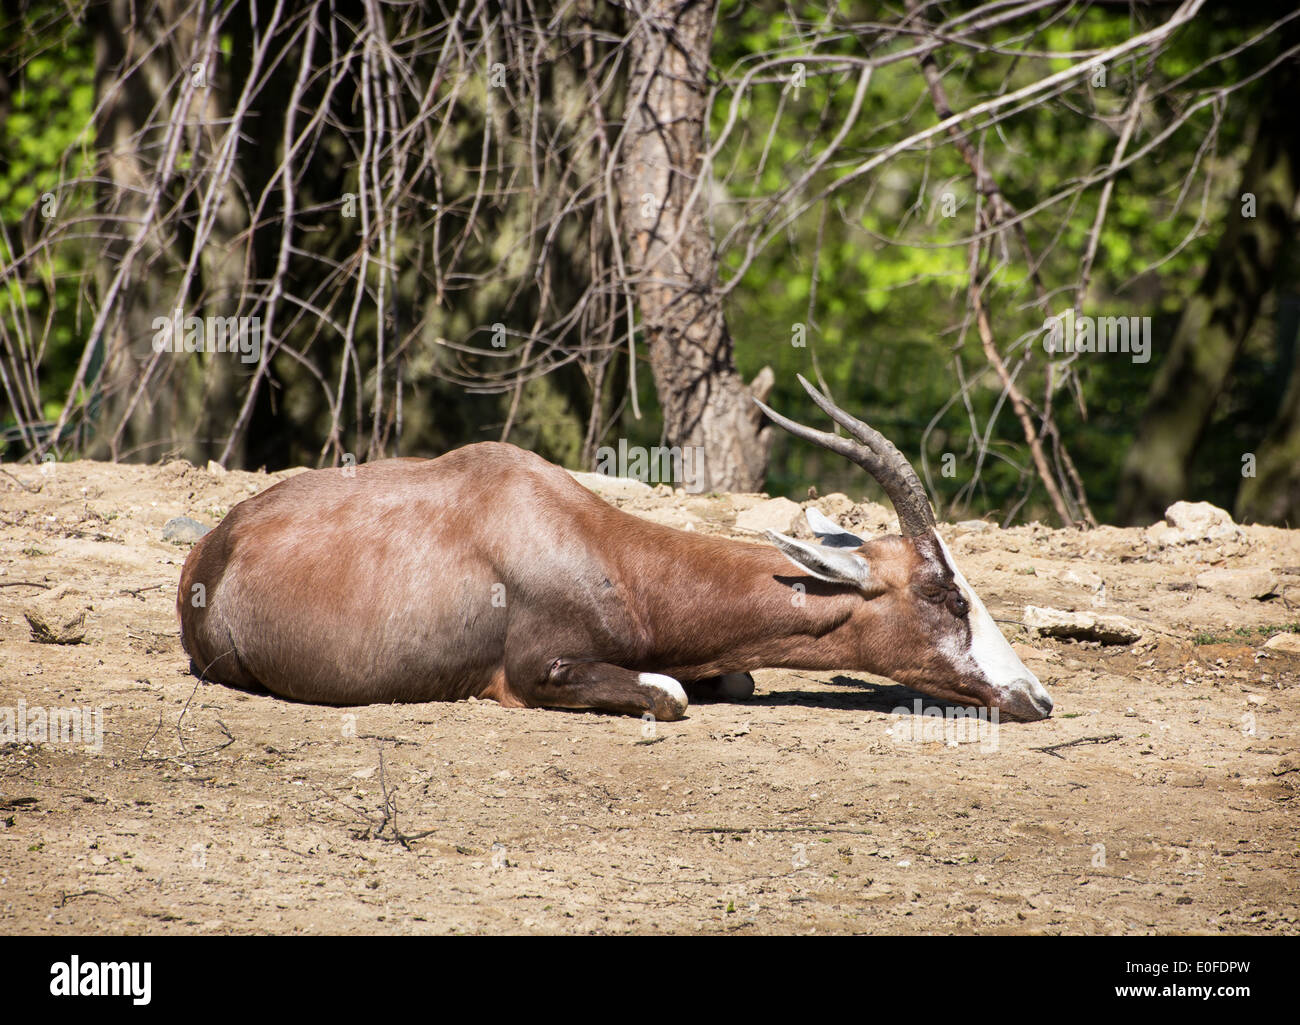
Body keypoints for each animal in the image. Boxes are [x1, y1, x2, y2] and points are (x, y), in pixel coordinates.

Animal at [178, 374, 1055, 723]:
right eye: (944, 593)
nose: (1037, 696)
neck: (607, 547)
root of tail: (216, 546)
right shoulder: (539, 671)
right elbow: (666, 692)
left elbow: (731, 680)